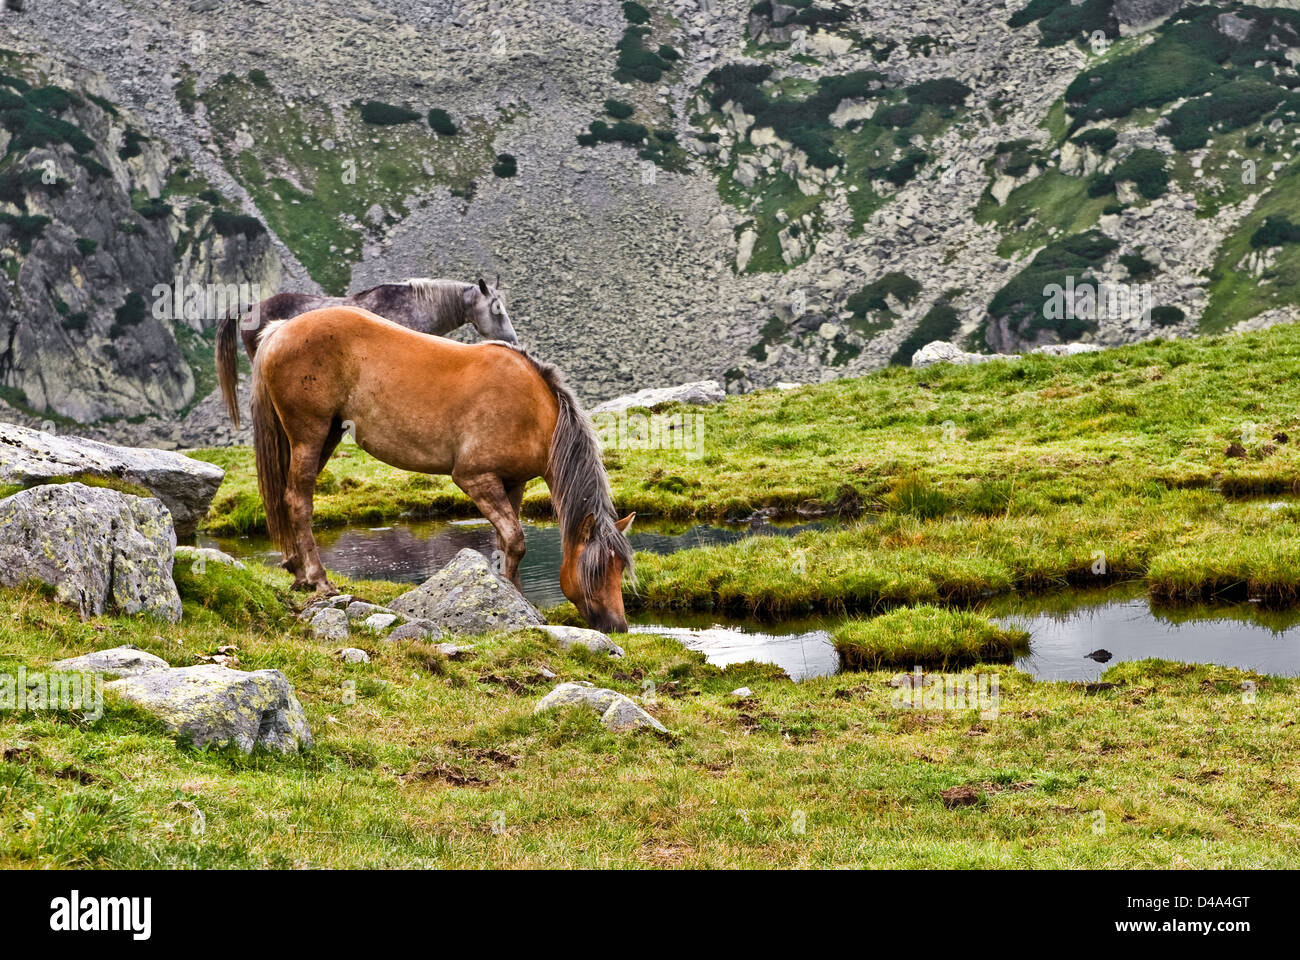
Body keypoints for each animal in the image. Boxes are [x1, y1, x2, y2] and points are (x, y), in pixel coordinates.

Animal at [249, 306, 634, 632]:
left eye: (619, 567)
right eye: (597, 569)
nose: (618, 626)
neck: (531, 410)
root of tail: (281, 329)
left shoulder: (512, 484)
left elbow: (506, 544)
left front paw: (512, 596)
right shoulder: (476, 479)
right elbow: (516, 540)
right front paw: (517, 598)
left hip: (327, 435)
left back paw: (297, 571)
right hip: (309, 434)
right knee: (298, 500)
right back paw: (318, 579)